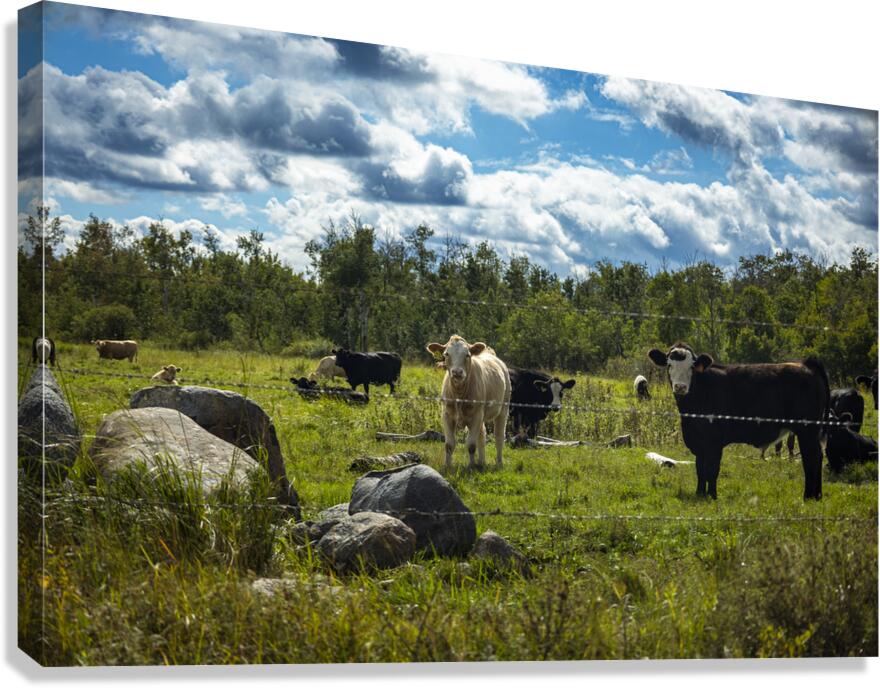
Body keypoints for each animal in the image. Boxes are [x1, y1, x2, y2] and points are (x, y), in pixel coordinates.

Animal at [426, 335, 511, 470]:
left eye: (467, 355)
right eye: (446, 354)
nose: (457, 372)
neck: (459, 395)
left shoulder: (476, 416)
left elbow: (471, 444)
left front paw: (471, 466)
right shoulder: (447, 415)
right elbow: (449, 444)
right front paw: (447, 466)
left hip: (503, 409)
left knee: (499, 436)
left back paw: (499, 463)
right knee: (482, 435)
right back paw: (481, 462)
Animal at [648, 342, 829, 500]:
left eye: (692, 366)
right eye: (669, 365)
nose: (680, 387)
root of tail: (806, 365)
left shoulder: (714, 441)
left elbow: (712, 469)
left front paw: (712, 495)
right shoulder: (699, 441)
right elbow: (700, 468)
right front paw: (699, 494)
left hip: (807, 429)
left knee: (811, 457)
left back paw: (809, 496)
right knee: (816, 456)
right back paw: (816, 496)